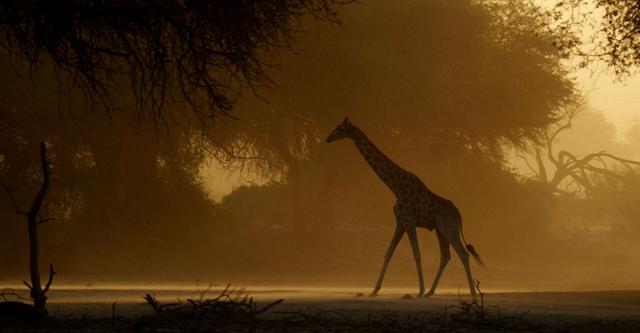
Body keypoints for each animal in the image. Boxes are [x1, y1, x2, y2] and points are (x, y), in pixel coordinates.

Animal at [328, 118, 482, 300]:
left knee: (463, 254)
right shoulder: (400, 223)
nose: (328, 138)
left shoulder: (409, 221)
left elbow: (417, 254)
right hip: (440, 230)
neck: (395, 187)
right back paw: (431, 292)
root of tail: (458, 214)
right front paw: (374, 290)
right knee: (446, 256)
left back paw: (472, 295)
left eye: (340, 128)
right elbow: (388, 253)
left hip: (448, 228)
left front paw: (419, 291)